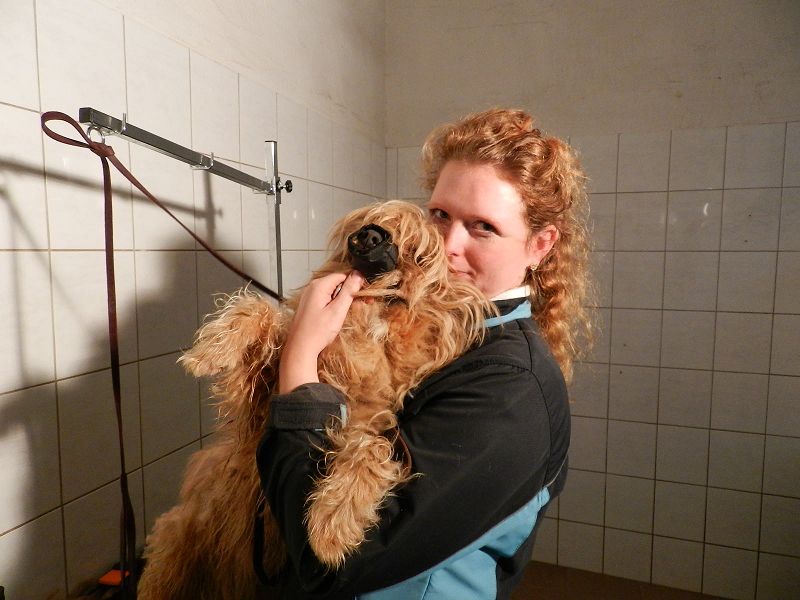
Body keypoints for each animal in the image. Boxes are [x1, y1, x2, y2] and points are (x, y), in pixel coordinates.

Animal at [136, 200, 493, 599]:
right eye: (370, 221)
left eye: (416, 249)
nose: (370, 233)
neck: (372, 318)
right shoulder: (261, 397)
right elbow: (260, 311)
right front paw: (214, 347)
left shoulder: (366, 423)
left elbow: (371, 449)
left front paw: (333, 520)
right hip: (179, 537)